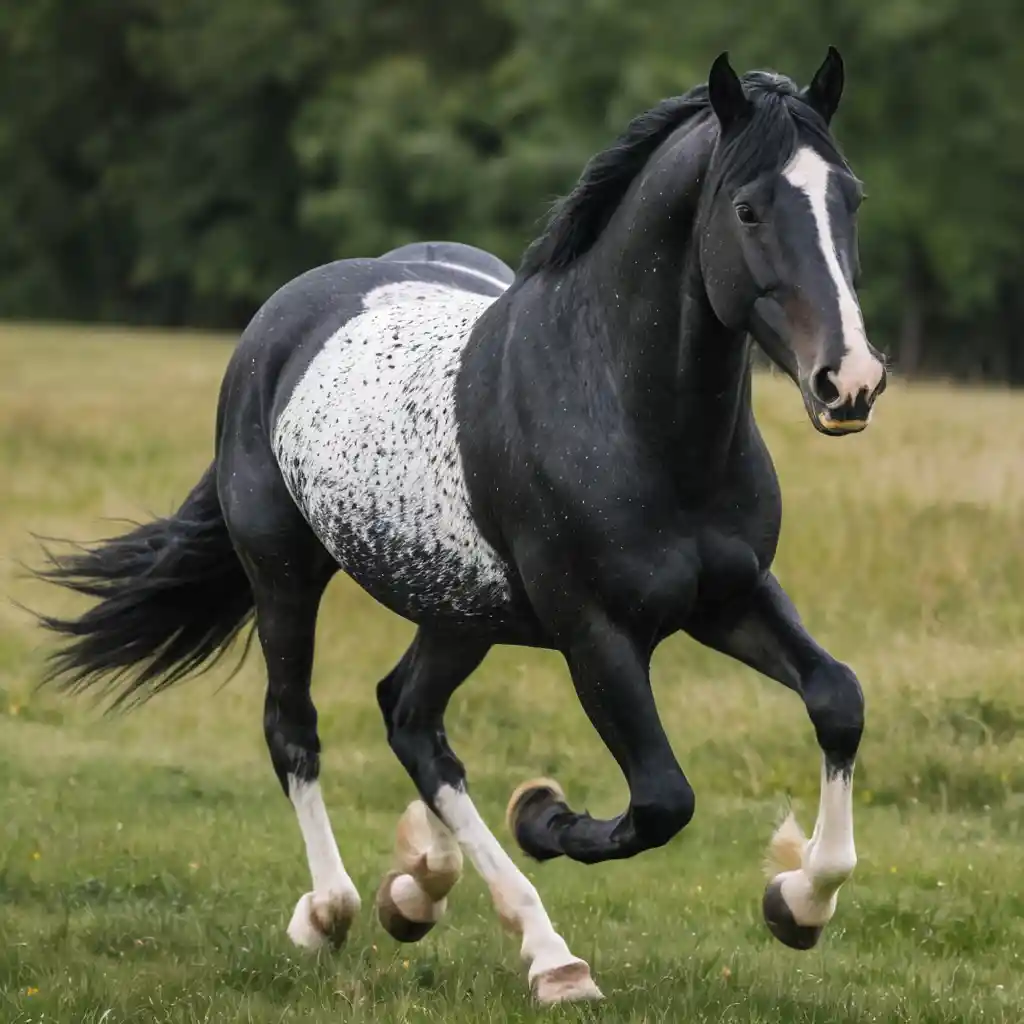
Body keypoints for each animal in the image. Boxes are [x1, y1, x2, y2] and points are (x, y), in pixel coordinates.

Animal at [33, 49, 887, 1004]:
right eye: (747, 209)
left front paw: (797, 902)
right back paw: (358, 916)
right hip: (284, 573)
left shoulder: (732, 596)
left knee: (411, 719)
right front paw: (544, 815)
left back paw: (430, 896)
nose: (849, 382)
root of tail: (282, 318)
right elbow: (662, 800)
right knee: (297, 727)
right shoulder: (596, 634)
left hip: (457, 611)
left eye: (849, 198)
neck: (624, 413)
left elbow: (837, 698)